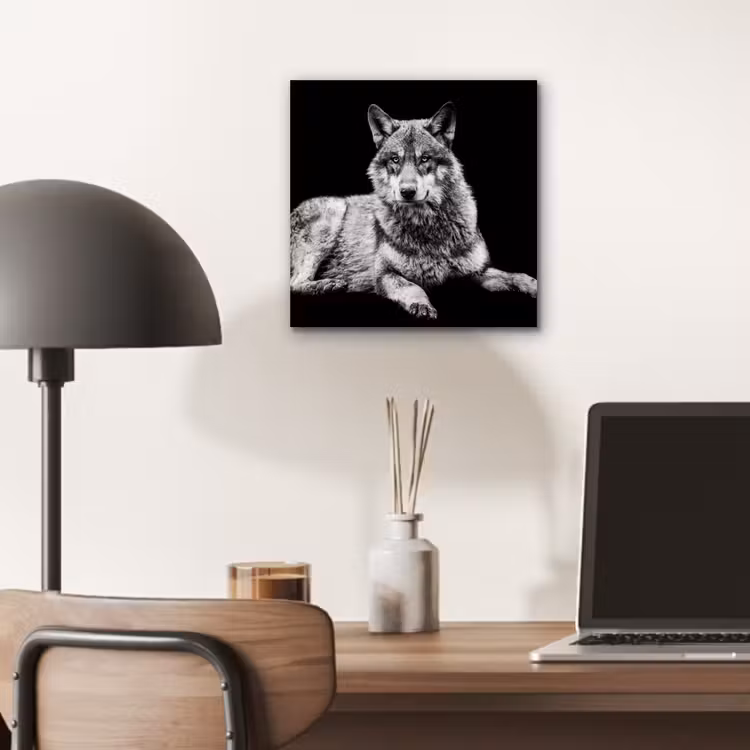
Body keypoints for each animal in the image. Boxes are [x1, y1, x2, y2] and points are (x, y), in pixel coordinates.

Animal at [290, 102, 537, 320]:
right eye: (395, 160)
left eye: (424, 159)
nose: (407, 191)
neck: (429, 227)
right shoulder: (385, 274)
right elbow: (412, 287)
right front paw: (421, 305)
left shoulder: (478, 272)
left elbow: (515, 276)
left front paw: (533, 285)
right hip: (332, 213)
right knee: (295, 283)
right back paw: (329, 285)